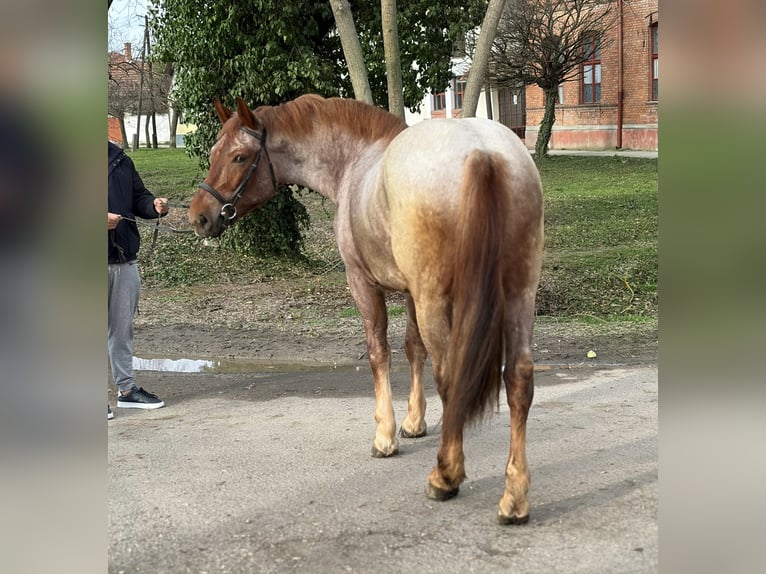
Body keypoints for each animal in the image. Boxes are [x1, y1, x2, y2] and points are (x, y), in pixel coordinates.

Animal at [189, 95, 544, 524]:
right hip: (519, 293)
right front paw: (413, 422)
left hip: (439, 299)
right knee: (518, 380)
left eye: (239, 157)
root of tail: (482, 151)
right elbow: (412, 348)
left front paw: (386, 436)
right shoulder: (410, 292)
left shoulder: (364, 285)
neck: (355, 161)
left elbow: (379, 353)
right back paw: (515, 497)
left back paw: (445, 475)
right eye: (213, 153)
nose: (199, 216)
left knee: (451, 377)